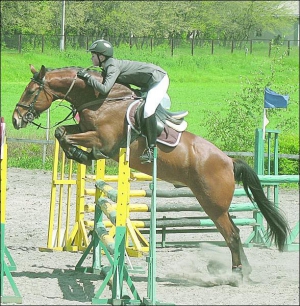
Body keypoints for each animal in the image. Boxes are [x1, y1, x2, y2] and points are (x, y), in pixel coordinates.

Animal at [12, 64, 290, 284]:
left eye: (30, 91)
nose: (15, 119)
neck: (100, 99)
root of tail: (229, 161)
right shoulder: (85, 130)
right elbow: (62, 131)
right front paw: (82, 155)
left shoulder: (103, 140)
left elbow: (65, 135)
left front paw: (80, 155)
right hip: (217, 205)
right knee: (235, 233)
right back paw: (244, 271)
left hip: (213, 204)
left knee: (231, 235)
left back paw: (235, 275)